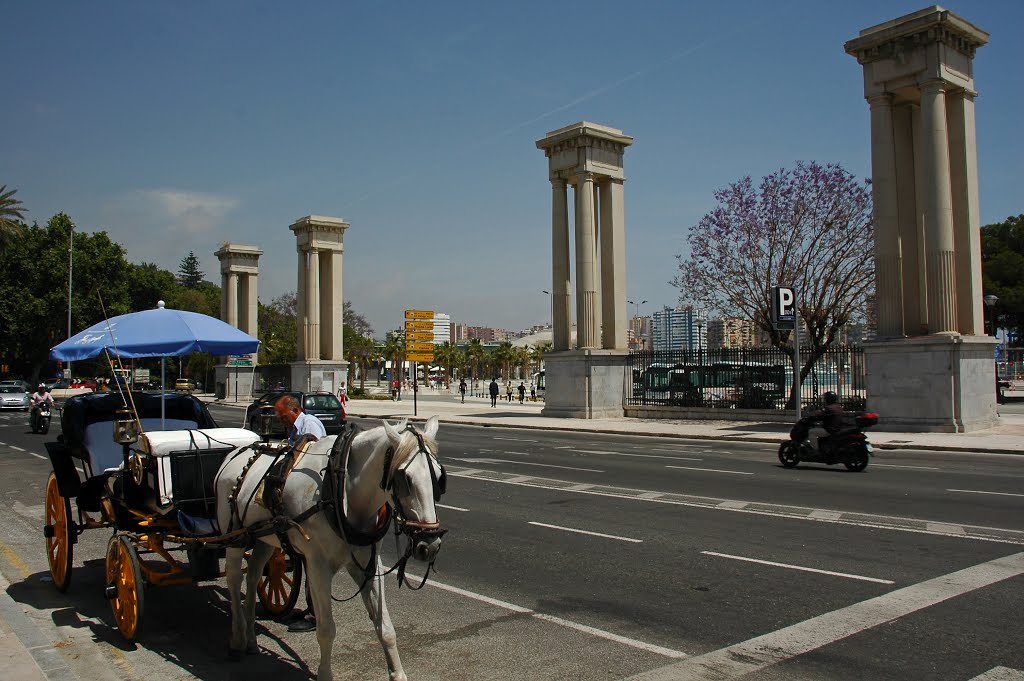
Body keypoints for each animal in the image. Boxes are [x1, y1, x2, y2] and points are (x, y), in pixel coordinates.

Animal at [216, 413, 444, 679]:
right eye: (403, 478)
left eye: (438, 477)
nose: (429, 545)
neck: (341, 487)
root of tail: (234, 453)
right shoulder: (317, 567)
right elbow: (326, 630)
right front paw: (325, 673)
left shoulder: (368, 563)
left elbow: (385, 628)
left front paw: (398, 674)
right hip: (234, 537)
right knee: (234, 579)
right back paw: (237, 639)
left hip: (265, 538)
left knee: (253, 574)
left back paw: (251, 640)